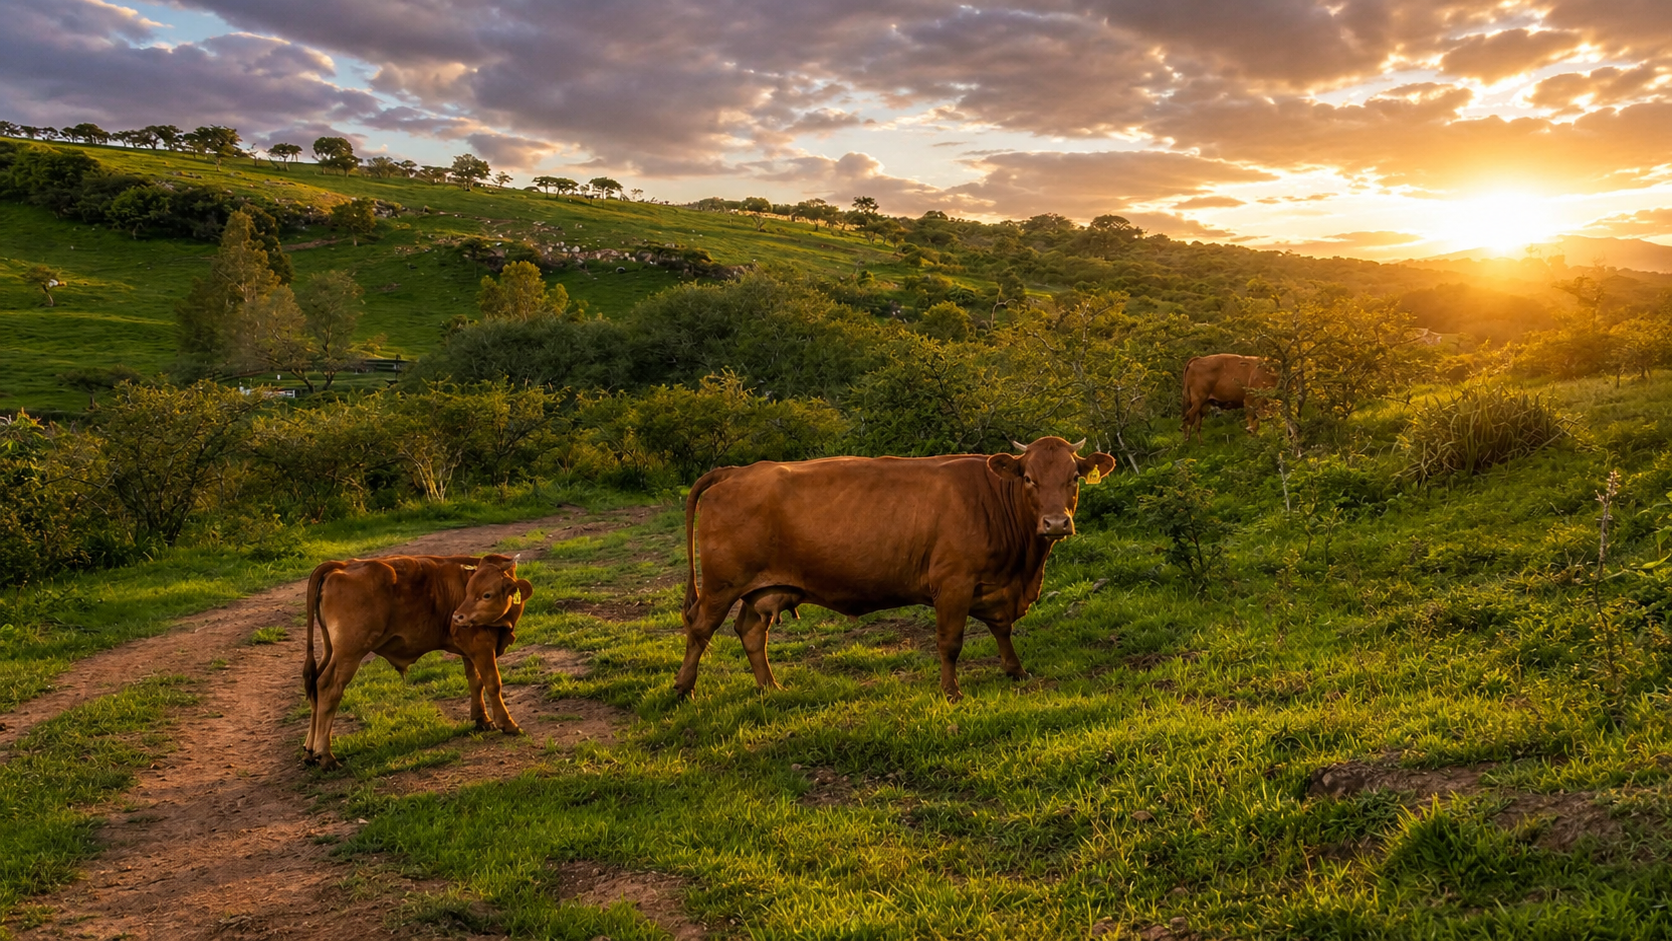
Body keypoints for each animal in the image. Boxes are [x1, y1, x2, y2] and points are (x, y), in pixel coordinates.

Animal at [301, 554, 534, 769]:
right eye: (469, 591)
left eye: (486, 594)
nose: (458, 617)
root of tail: (342, 565)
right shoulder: (481, 646)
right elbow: (492, 683)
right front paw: (508, 724)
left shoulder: (469, 650)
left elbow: (475, 682)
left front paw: (482, 719)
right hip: (349, 655)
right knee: (328, 688)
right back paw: (326, 755)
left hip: (331, 651)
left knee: (314, 685)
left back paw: (310, 751)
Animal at [676, 436, 1118, 702]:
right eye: (1028, 478)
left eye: (1074, 477)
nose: (1056, 523)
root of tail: (737, 470)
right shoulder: (953, 584)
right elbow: (950, 643)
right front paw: (951, 692)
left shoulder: (996, 586)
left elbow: (1002, 630)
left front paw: (1016, 671)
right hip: (721, 585)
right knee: (700, 628)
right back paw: (683, 689)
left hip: (760, 589)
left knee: (751, 632)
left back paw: (771, 687)